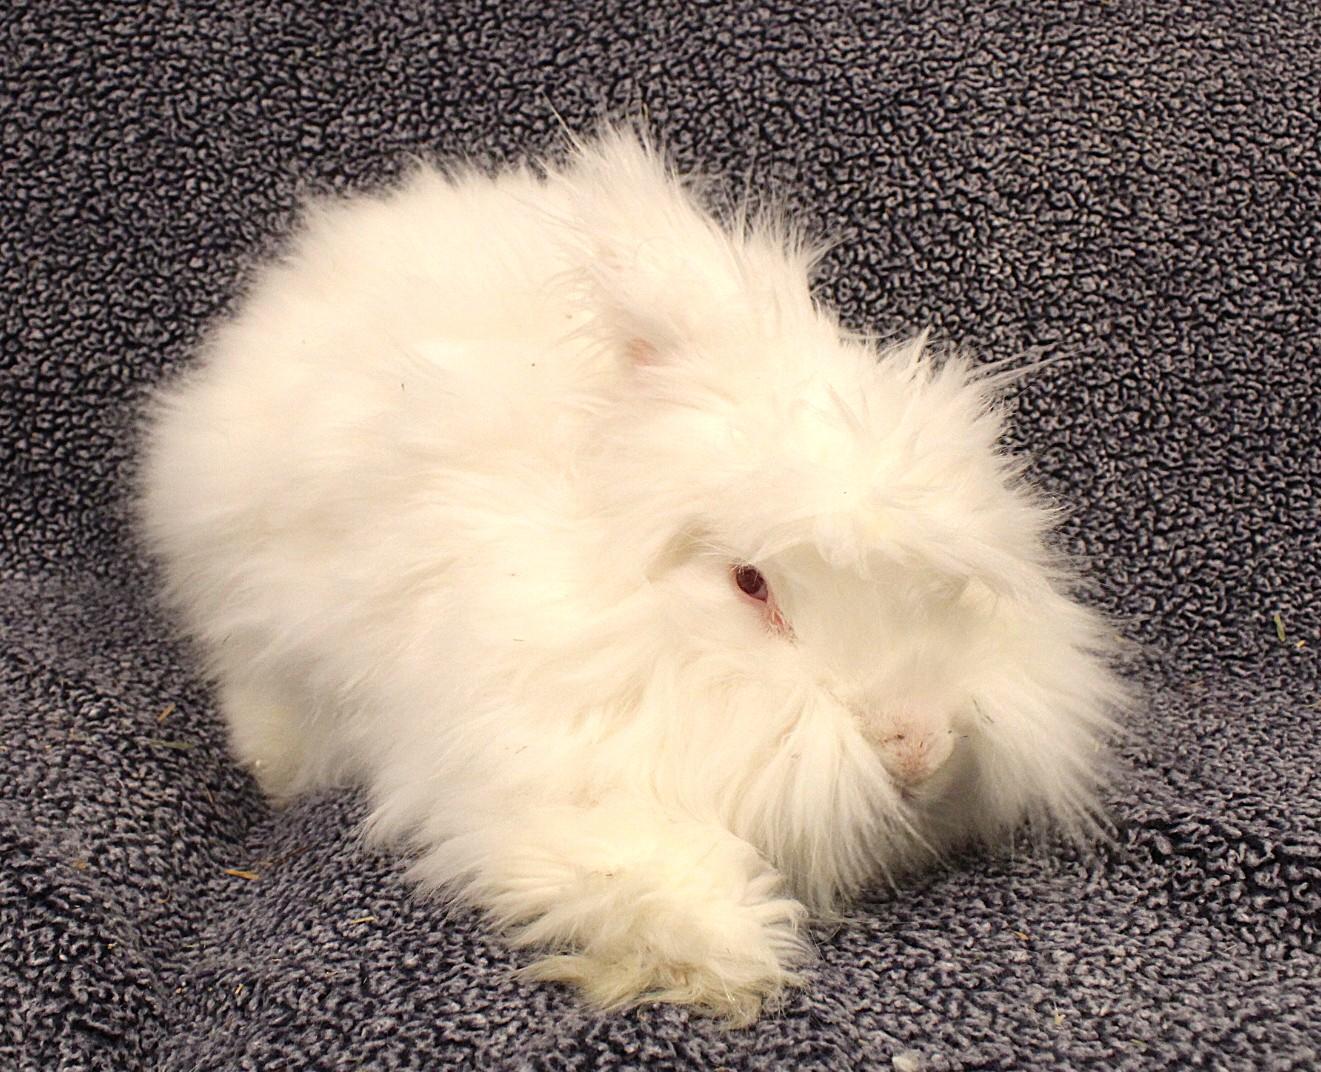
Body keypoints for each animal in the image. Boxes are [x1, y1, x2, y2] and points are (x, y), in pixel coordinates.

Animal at [138, 127, 1126, 1025]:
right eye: (750, 584)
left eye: (949, 589)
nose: (917, 746)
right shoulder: (524, 774)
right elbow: (641, 861)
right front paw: (724, 960)